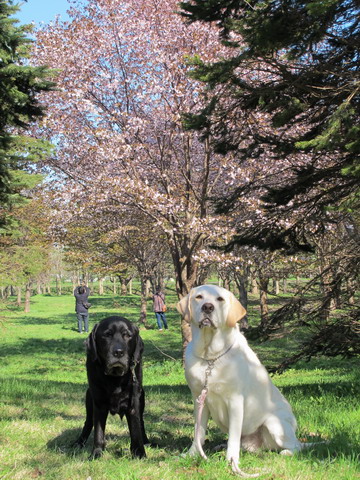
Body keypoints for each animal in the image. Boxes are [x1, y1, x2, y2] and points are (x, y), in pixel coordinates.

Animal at [74, 316, 148, 460]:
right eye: (107, 335)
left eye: (127, 335)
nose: (118, 352)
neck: (115, 378)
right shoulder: (98, 404)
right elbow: (98, 432)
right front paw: (96, 453)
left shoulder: (133, 403)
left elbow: (136, 430)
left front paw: (139, 453)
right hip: (89, 399)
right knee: (88, 422)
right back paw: (79, 442)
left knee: (141, 422)